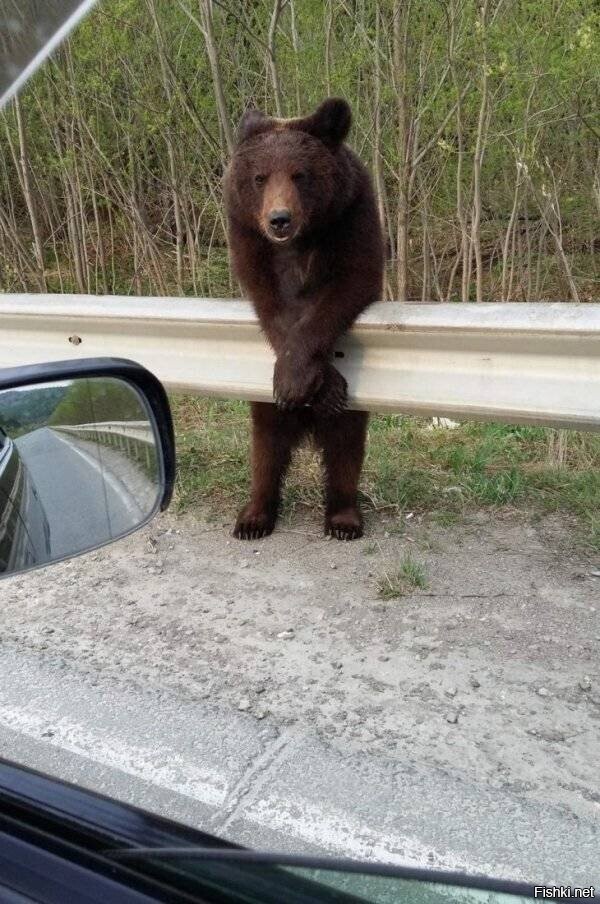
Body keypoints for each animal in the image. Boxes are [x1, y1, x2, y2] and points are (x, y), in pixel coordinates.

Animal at [224, 98, 384, 540]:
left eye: (300, 174)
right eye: (260, 177)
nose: (279, 219)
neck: (300, 240)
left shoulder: (352, 215)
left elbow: (350, 284)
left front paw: (311, 382)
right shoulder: (247, 234)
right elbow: (270, 303)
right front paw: (300, 380)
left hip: (350, 418)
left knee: (346, 449)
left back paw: (344, 517)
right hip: (263, 409)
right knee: (266, 446)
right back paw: (254, 516)